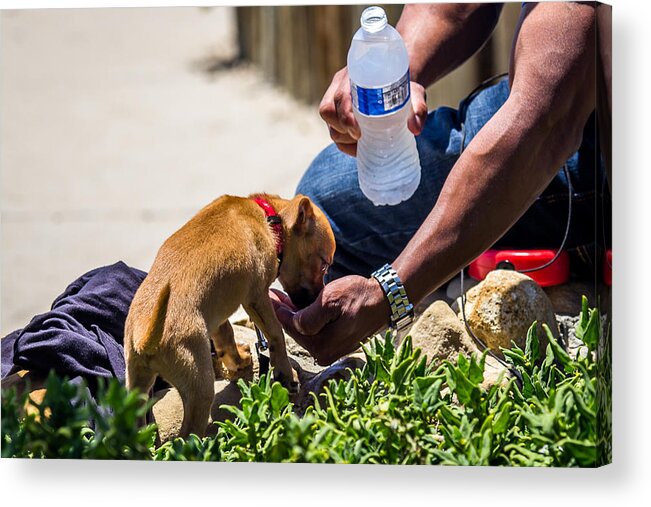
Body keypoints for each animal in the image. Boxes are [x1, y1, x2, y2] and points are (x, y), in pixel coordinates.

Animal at [123, 192, 336, 438]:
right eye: (324, 264)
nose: (318, 298)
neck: (268, 216)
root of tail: (145, 339)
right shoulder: (257, 297)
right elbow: (276, 334)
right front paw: (286, 374)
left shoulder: (217, 314)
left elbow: (226, 336)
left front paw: (239, 362)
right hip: (200, 387)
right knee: (187, 436)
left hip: (136, 385)